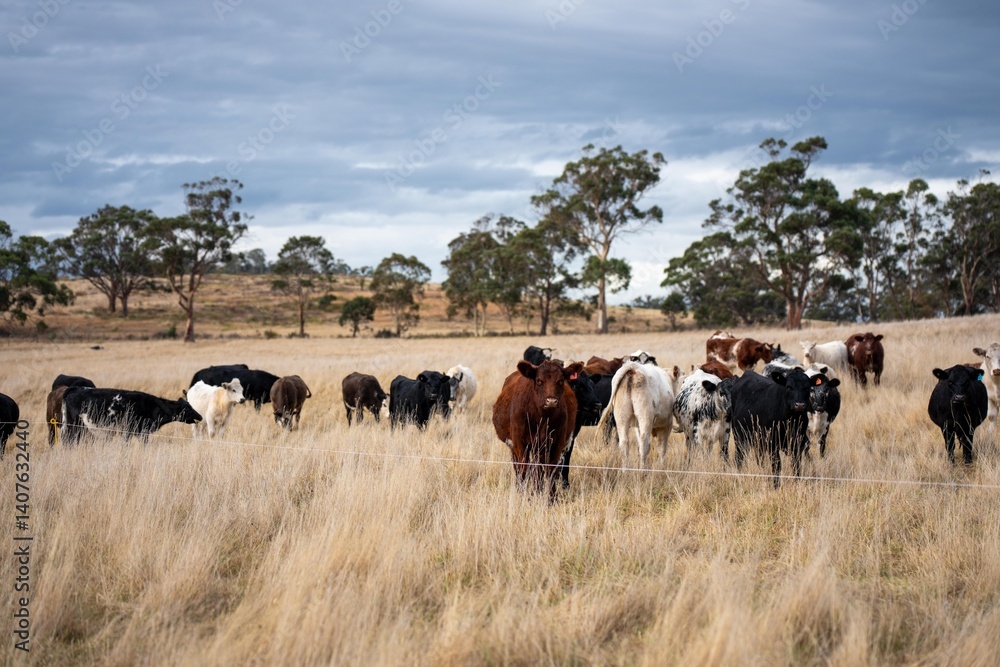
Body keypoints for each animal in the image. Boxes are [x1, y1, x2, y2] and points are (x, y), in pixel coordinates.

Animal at [492, 360, 582, 499]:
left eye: (561, 381)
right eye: (539, 381)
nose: (551, 401)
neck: (542, 419)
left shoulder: (557, 443)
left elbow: (550, 470)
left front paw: (551, 499)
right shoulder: (520, 444)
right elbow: (524, 470)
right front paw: (523, 496)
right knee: (521, 468)